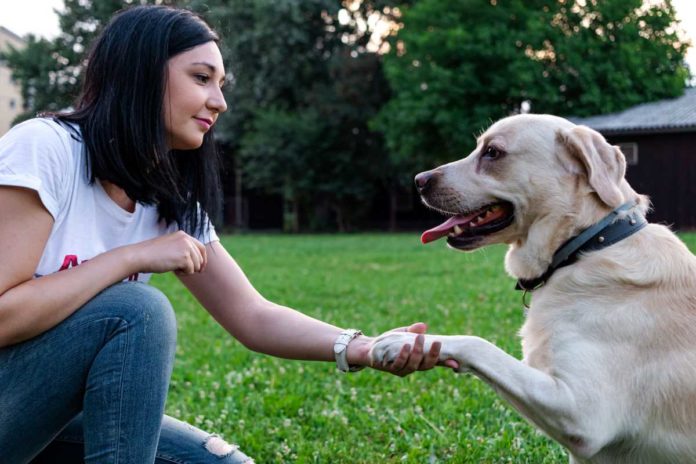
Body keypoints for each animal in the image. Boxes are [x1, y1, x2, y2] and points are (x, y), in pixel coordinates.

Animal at [372, 113, 696, 464]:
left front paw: (402, 341)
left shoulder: (584, 415)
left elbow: (479, 344)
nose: (419, 180)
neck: (586, 245)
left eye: (492, 152)